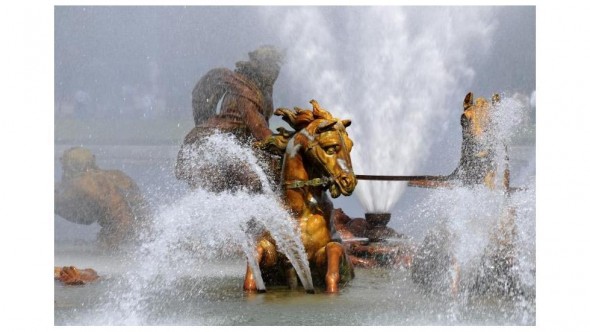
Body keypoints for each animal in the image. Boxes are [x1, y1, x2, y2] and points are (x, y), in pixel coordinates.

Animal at [244, 99, 358, 294]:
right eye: (331, 148)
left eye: (350, 146)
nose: (349, 182)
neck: (298, 210)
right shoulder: (277, 255)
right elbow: (255, 262)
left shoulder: (324, 254)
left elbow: (333, 258)